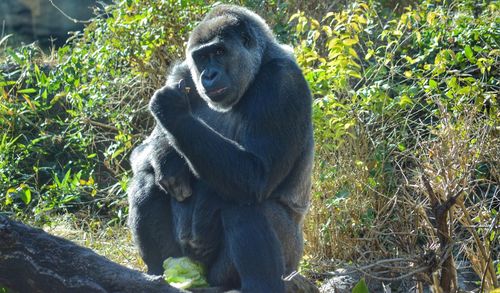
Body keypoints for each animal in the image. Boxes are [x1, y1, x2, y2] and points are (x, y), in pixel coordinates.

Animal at [127, 5, 312, 292]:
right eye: (202, 58)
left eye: (219, 52)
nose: (208, 75)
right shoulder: (182, 72)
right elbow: (143, 150)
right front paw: (168, 158)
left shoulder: (282, 83)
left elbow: (257, 175)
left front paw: (173, 113)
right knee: (147, 178)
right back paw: (157, 272)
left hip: (287, 260)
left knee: (245, 203)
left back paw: (261, 284)